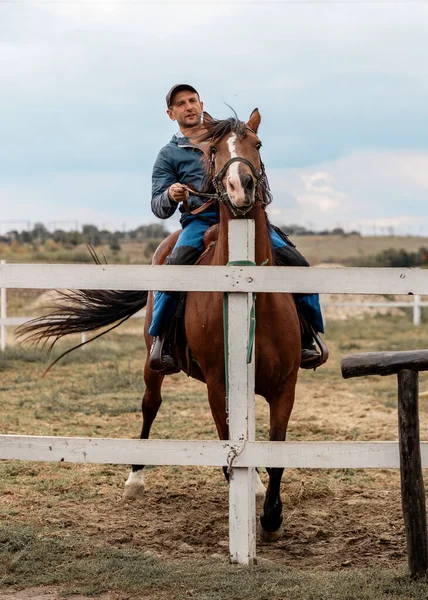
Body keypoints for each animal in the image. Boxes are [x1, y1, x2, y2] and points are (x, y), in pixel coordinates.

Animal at [19, 109, 300, 544]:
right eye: (214, 150)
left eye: (257, 144)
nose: (241, 186)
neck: (250, 294)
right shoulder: (219, 384)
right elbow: (227, 444)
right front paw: (254, 505)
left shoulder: (286, 384)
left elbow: (276, 455)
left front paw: (271, 517)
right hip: (153, 365)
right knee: (150, 406)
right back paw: (135, 478)